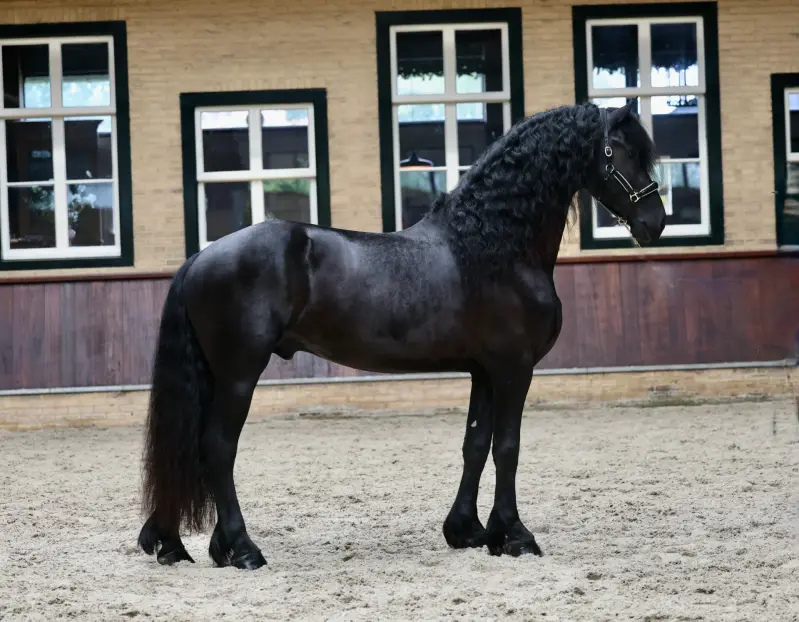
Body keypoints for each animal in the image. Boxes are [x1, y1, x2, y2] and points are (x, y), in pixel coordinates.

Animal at [136, 100, 665, 570]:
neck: (492, 245)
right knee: (217, 447)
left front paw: (468, 531)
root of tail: (199, 258)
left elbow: (476, 443)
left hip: (216, 376)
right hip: (239, 376)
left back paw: (180, 544)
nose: (654, 223)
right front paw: (515, 536)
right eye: (620, 151)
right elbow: (508, 447)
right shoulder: (513, 369)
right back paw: (242, 549)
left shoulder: (484, 372)